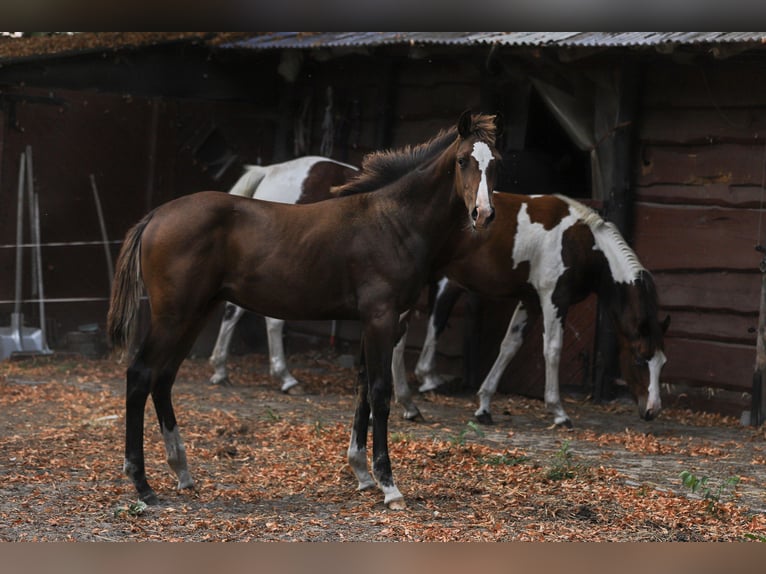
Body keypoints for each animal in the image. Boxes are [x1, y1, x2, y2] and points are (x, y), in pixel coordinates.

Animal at [108, 113, 504, 512]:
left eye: (495, 163)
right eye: (462, 161)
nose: (483, 214)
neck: (394, 222)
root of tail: (155, 215)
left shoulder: (371, 321)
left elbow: (362, 388)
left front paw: (362, 474)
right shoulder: (382, 317)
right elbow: (379, 391)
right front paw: (389, 486)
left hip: (194, 314)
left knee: (163, 378)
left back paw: (182, 472)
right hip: (173, 315)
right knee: (140, 374)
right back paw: (142, 483)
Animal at [392, 192, 668, 428]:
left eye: (661, 363)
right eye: (639, 358)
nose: (652, 410)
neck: (584, 243)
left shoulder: (530, 301)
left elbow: (510, 346)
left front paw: (484, 406)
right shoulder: (554, 299)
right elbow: (553, 349)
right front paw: (558, 412)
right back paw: (407, 403)